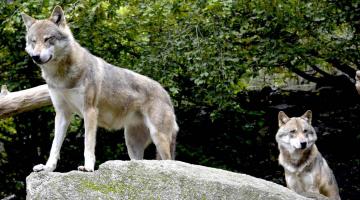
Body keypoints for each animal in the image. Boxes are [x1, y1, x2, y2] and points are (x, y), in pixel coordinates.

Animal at [21, 5, 179, 172]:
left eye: (47, 39)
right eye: (33, 41)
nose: (36, 57)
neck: (62, 76)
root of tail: (166, 94)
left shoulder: (90, 111)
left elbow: (88, 145)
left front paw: (88, 167)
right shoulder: (62, 113)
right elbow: (54, 147)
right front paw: (48, 168)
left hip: (158, 138)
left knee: (169, 160)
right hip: (131, 144)